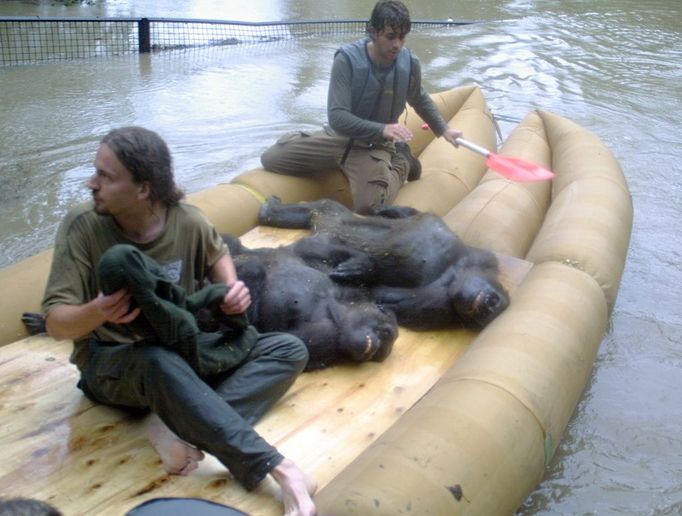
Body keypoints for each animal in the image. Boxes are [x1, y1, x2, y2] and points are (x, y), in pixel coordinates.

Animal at [258, 196, 508, 328]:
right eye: (495, 299)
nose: (489, 305)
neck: (459, 267)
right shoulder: (480, 257)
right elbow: (410, 214)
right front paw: (386, 209)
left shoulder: (440, 304)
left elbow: (385, 297)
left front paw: (363, 271)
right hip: (332, 214)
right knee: (323, 206)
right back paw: (270, 208)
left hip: (324, 228)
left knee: (321, 239)